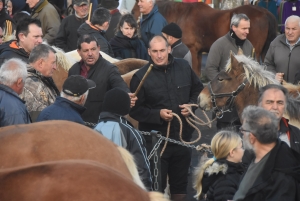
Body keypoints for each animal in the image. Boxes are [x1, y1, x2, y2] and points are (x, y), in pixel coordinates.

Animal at [132, 0, 278, 76]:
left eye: (139, 2)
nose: (132, 13)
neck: (182, 15)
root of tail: (265, 12)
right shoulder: (198, 52)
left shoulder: (192, 50)